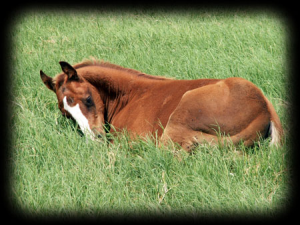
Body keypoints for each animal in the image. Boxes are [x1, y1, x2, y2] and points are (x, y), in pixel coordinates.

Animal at [40, 59, 284, 152]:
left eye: (88, 99)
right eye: (66, 114)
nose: (95, 139)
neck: (130, 96)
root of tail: (264, 107)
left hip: (178, 121)